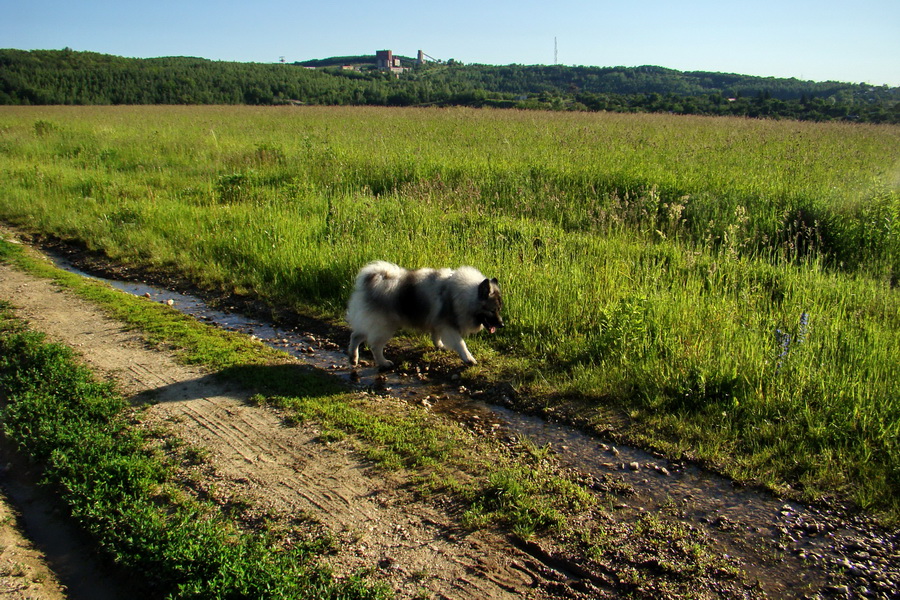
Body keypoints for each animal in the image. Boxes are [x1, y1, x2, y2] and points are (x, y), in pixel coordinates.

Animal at [346, 260, 502, 368]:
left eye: (499, 309)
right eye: (492, 310)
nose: (502, 324)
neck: (463, 295)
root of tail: (374, 281)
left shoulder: (438, 323)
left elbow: (436, 336)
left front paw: (440, 346)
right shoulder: (448, 326)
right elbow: (461, 344)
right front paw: (469, 359)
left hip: (371, 323)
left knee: (355, 335)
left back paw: (353, 358)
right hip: (384, 326)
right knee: (375, 346)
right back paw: (383, 363)